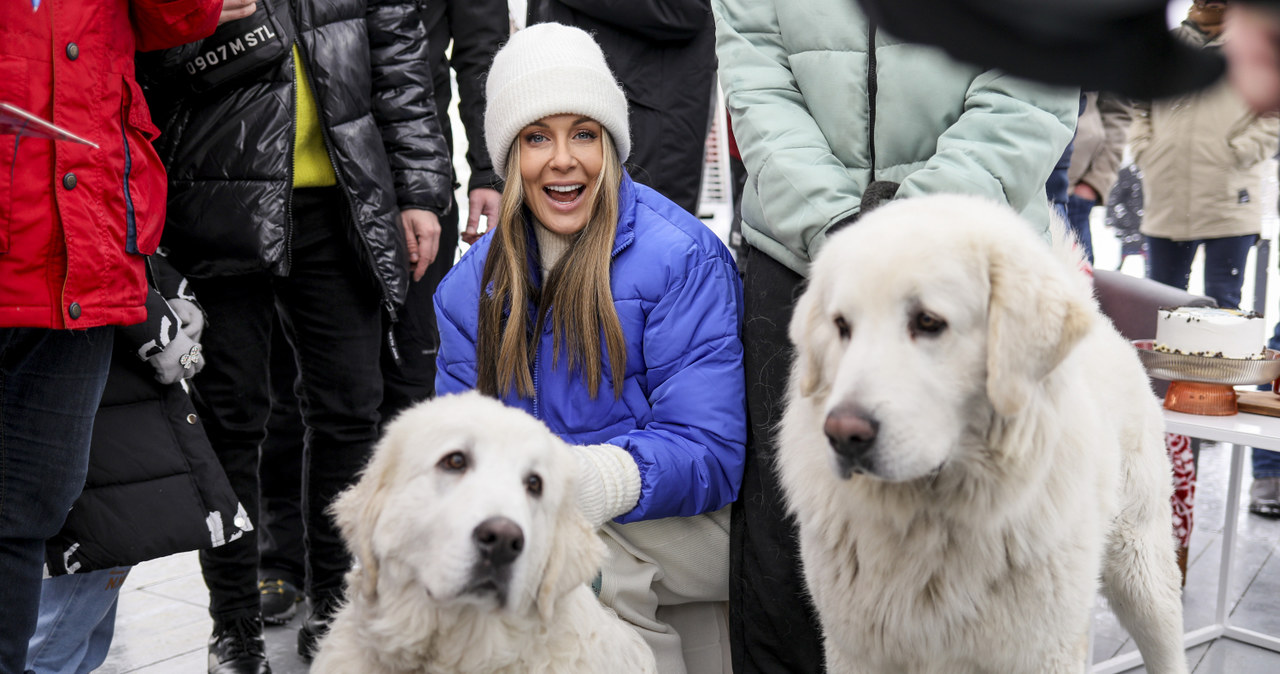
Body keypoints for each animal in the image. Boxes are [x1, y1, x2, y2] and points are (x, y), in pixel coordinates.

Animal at [778, 195, 1187, 674]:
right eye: (842, 326)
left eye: (928, 321)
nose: (844, 434)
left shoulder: (1040, 651)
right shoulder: (856, 651)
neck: (932, 522)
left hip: (1142, 574)